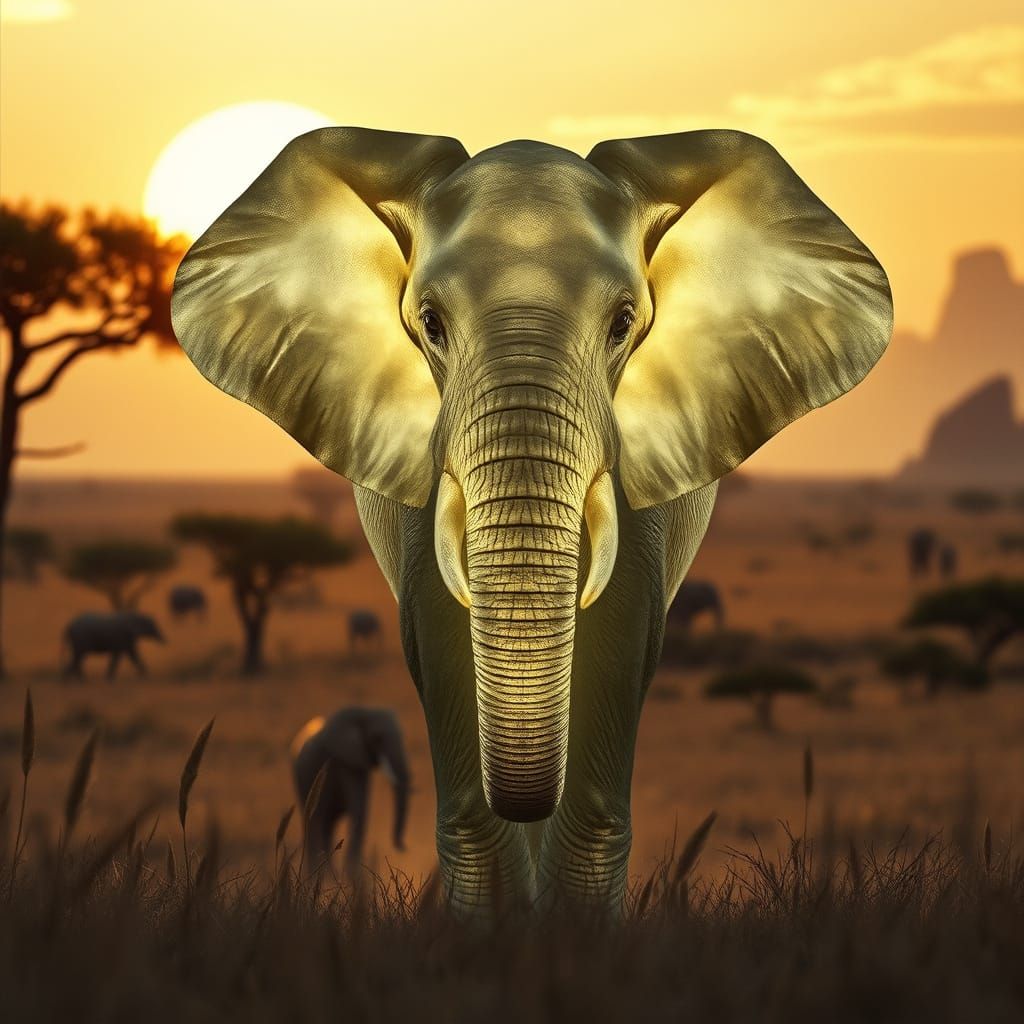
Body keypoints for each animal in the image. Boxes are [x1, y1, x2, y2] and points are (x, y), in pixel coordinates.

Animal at [291, 708, 410, 872]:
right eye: (377, 738)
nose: (403, 847)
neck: (362, 710)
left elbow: (360, 809)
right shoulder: (346, 760)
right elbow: (358, 809)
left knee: (327, 826)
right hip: (304, 781)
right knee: (315, 822)